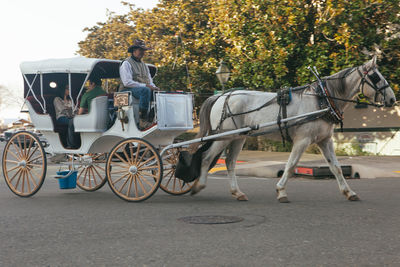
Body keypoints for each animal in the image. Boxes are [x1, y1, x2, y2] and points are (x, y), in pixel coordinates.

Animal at [188, 57, 396, 203]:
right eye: (376, 77)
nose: (392, 99)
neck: (322, 99)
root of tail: (221, 96)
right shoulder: (303, 140)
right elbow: (291, 165)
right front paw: (281, 192)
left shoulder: (324, 140)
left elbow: (336, 167)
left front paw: (349, 192)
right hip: (224, 137)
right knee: (206, 158)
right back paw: (199, 185)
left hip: (238, 137)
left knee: (230, 162)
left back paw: (237, 192)